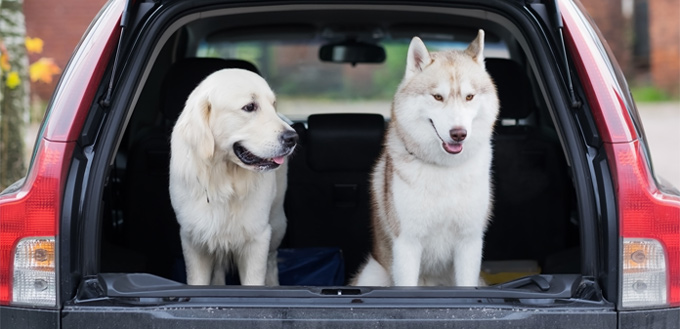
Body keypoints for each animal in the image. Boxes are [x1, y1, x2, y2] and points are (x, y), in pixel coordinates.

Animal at [169, 67, 296, 284]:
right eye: (249, 107)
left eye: (273, 104)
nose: (293, 137)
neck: (223, 179)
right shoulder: (193, 238)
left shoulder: (258, 238)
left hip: (277, 221)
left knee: (272, 260)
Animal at [350, 30, 500, 284]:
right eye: (437, 97)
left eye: (469, 97)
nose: (458, 134)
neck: (445, 169)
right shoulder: (407, 244)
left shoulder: (469, 242)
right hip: (373, 274)